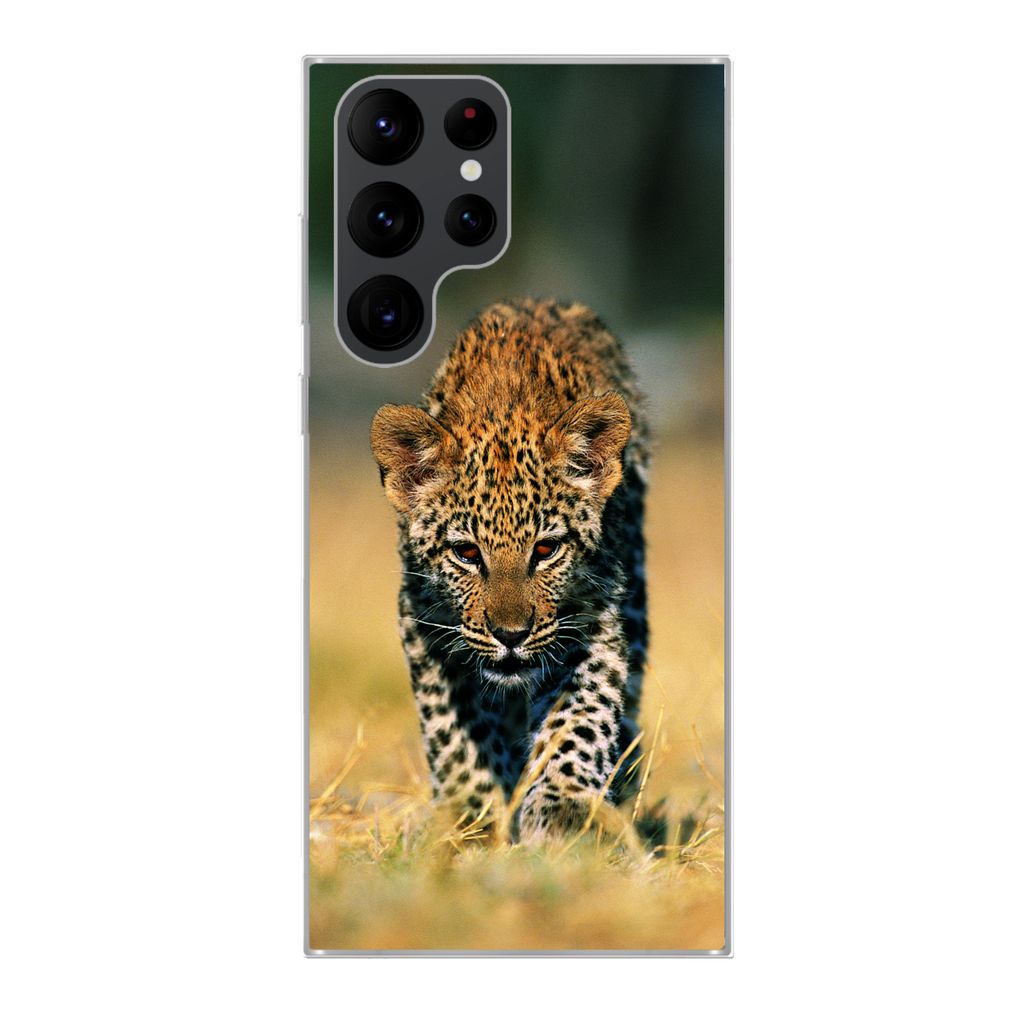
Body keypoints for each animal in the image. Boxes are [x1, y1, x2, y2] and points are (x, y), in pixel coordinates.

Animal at [370, 298, 649, 841]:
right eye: (466, 553)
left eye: (546, 549)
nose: (510, 635)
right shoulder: (424, 623)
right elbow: (455, 734)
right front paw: (474, 817)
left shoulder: (592, 621)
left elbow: (578, 720)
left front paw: (564, 812)